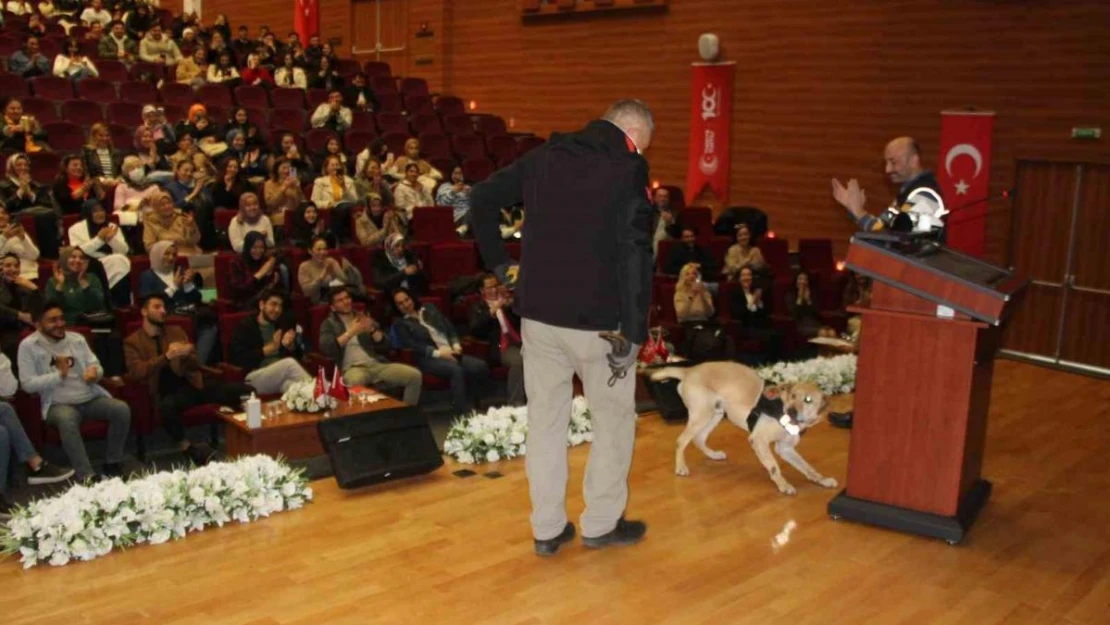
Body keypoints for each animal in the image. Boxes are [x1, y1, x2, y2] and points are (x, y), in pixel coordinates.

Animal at [648, 364, 834, 497]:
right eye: (793, 396)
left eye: (808, 400)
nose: (791, 411)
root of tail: (689, 370)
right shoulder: (758, 440)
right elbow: (774, 466)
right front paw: (783, 485)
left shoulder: (785, 448)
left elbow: (807, 467)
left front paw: (821, 480)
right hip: (702, 415)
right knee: (681, 440)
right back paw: (681, 467)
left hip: (714, 414)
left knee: (698, 439)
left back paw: (713, 455)